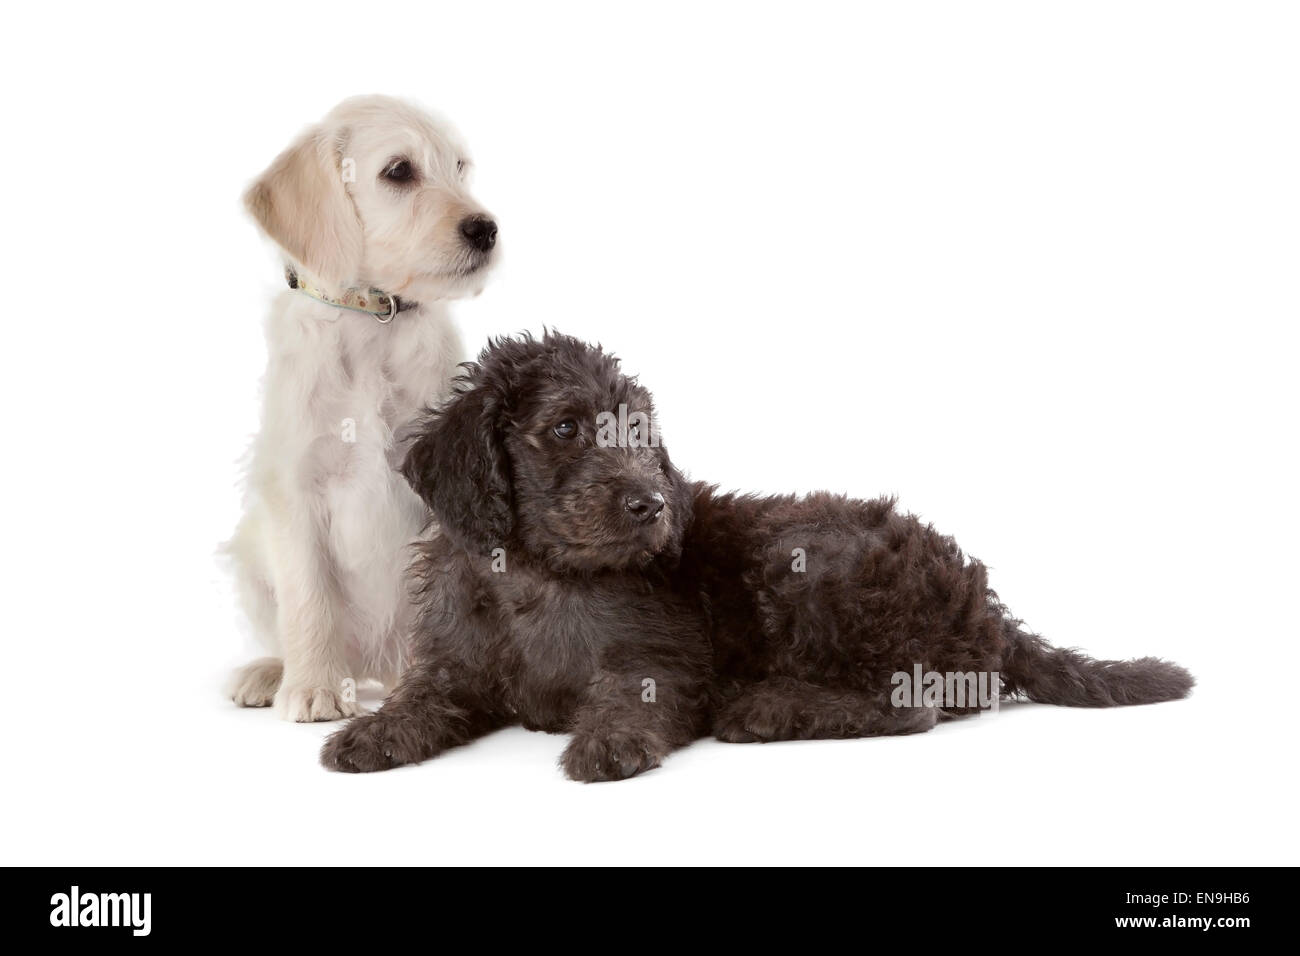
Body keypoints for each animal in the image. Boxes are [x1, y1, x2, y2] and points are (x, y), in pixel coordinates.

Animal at [226, 98, 493, 723]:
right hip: (249, 555)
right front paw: (313, 687)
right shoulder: (295, 489)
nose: (486, 229)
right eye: (398, 172)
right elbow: (308, 598)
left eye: (460, 167)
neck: (374, 319)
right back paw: (271, 673)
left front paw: (428, 686)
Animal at [319, 332, 1190, 780]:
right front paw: (374, 731)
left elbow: (632, 695)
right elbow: (424, 697)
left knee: (912, 702)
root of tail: (992, 618)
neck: (536, 576)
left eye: (640, 436)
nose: (653, 504)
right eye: (565, 427)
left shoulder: (663, 656)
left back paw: (763, 709)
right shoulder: (453, 663)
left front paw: (609, 741)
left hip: (806, 562)